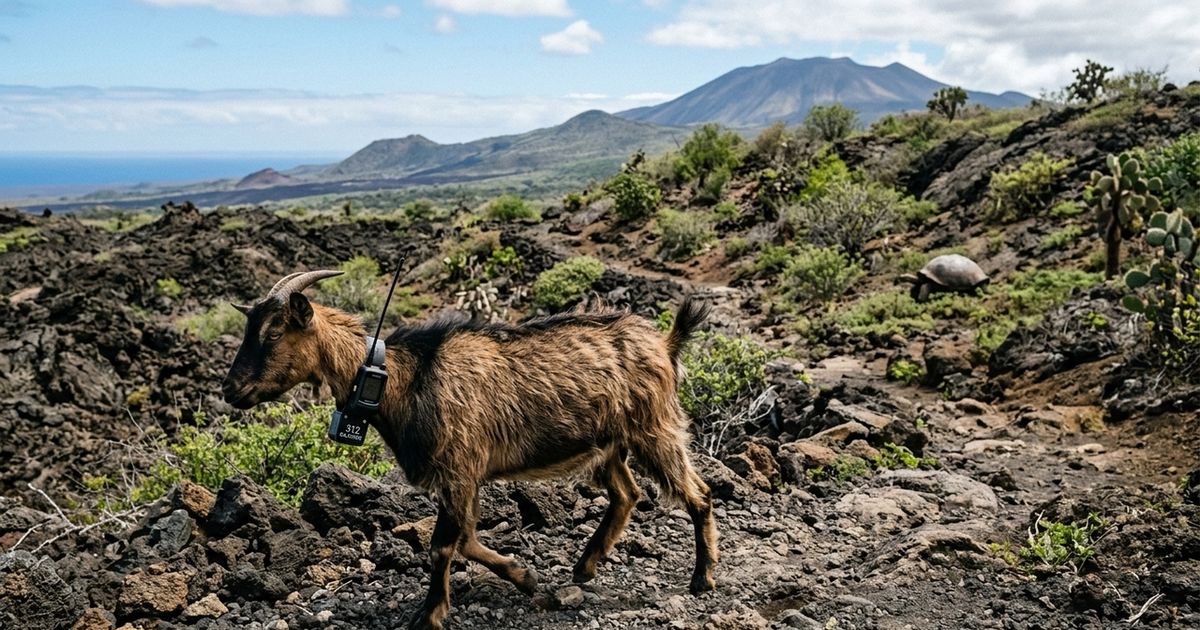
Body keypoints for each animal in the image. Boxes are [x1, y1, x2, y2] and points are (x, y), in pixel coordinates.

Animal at [222, 270, 718, 630]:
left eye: (272, 334)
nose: (230, 390)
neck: (402, 379)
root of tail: (664, 342)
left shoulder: (458, 469)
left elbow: (445, 544)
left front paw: (429, 614)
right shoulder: (462, 478)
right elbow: (466, 539)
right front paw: (525, 577)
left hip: (654, 428)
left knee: (698, 494)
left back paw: (703, 577)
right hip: (608, 445)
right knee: (626, 494)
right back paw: (585, 566)